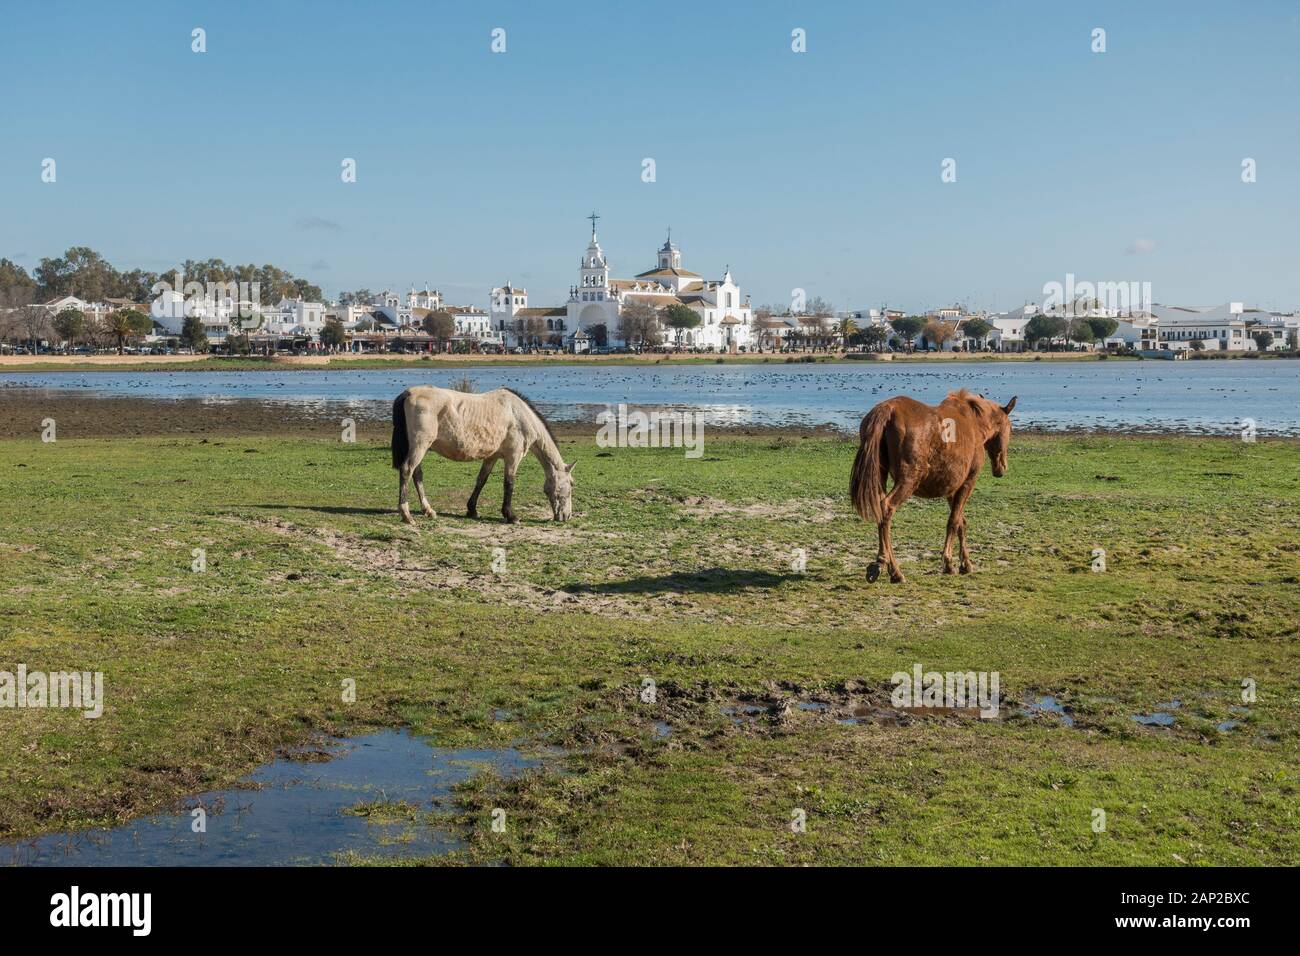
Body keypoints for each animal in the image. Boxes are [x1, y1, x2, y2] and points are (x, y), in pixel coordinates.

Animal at [390, 386, 575, 525]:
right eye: (571, 485)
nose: (566, 516)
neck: (518, 415)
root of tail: (408, 393)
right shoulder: (513, 457)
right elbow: (509, 484)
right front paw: (510, 516)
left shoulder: (491, 457)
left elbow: (481, 480)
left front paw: (472, 509)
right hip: (420, 446)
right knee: (407, 470)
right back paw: (406, 514)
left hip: (418, 447)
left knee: (417, 474)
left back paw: (428, 510)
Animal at [849, 389, 1017, 583]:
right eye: (1010, 428)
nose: (1001, 468)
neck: (974, 423)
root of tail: (887, 410)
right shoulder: (968, 483)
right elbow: (953, 522)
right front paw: (949, 563)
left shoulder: (952, 490)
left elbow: (961, 522)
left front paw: (965, 563)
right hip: (908, 480)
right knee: (887, 507)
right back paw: (892, 569)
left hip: (879, 478)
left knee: (880, 510)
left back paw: (881, 565)